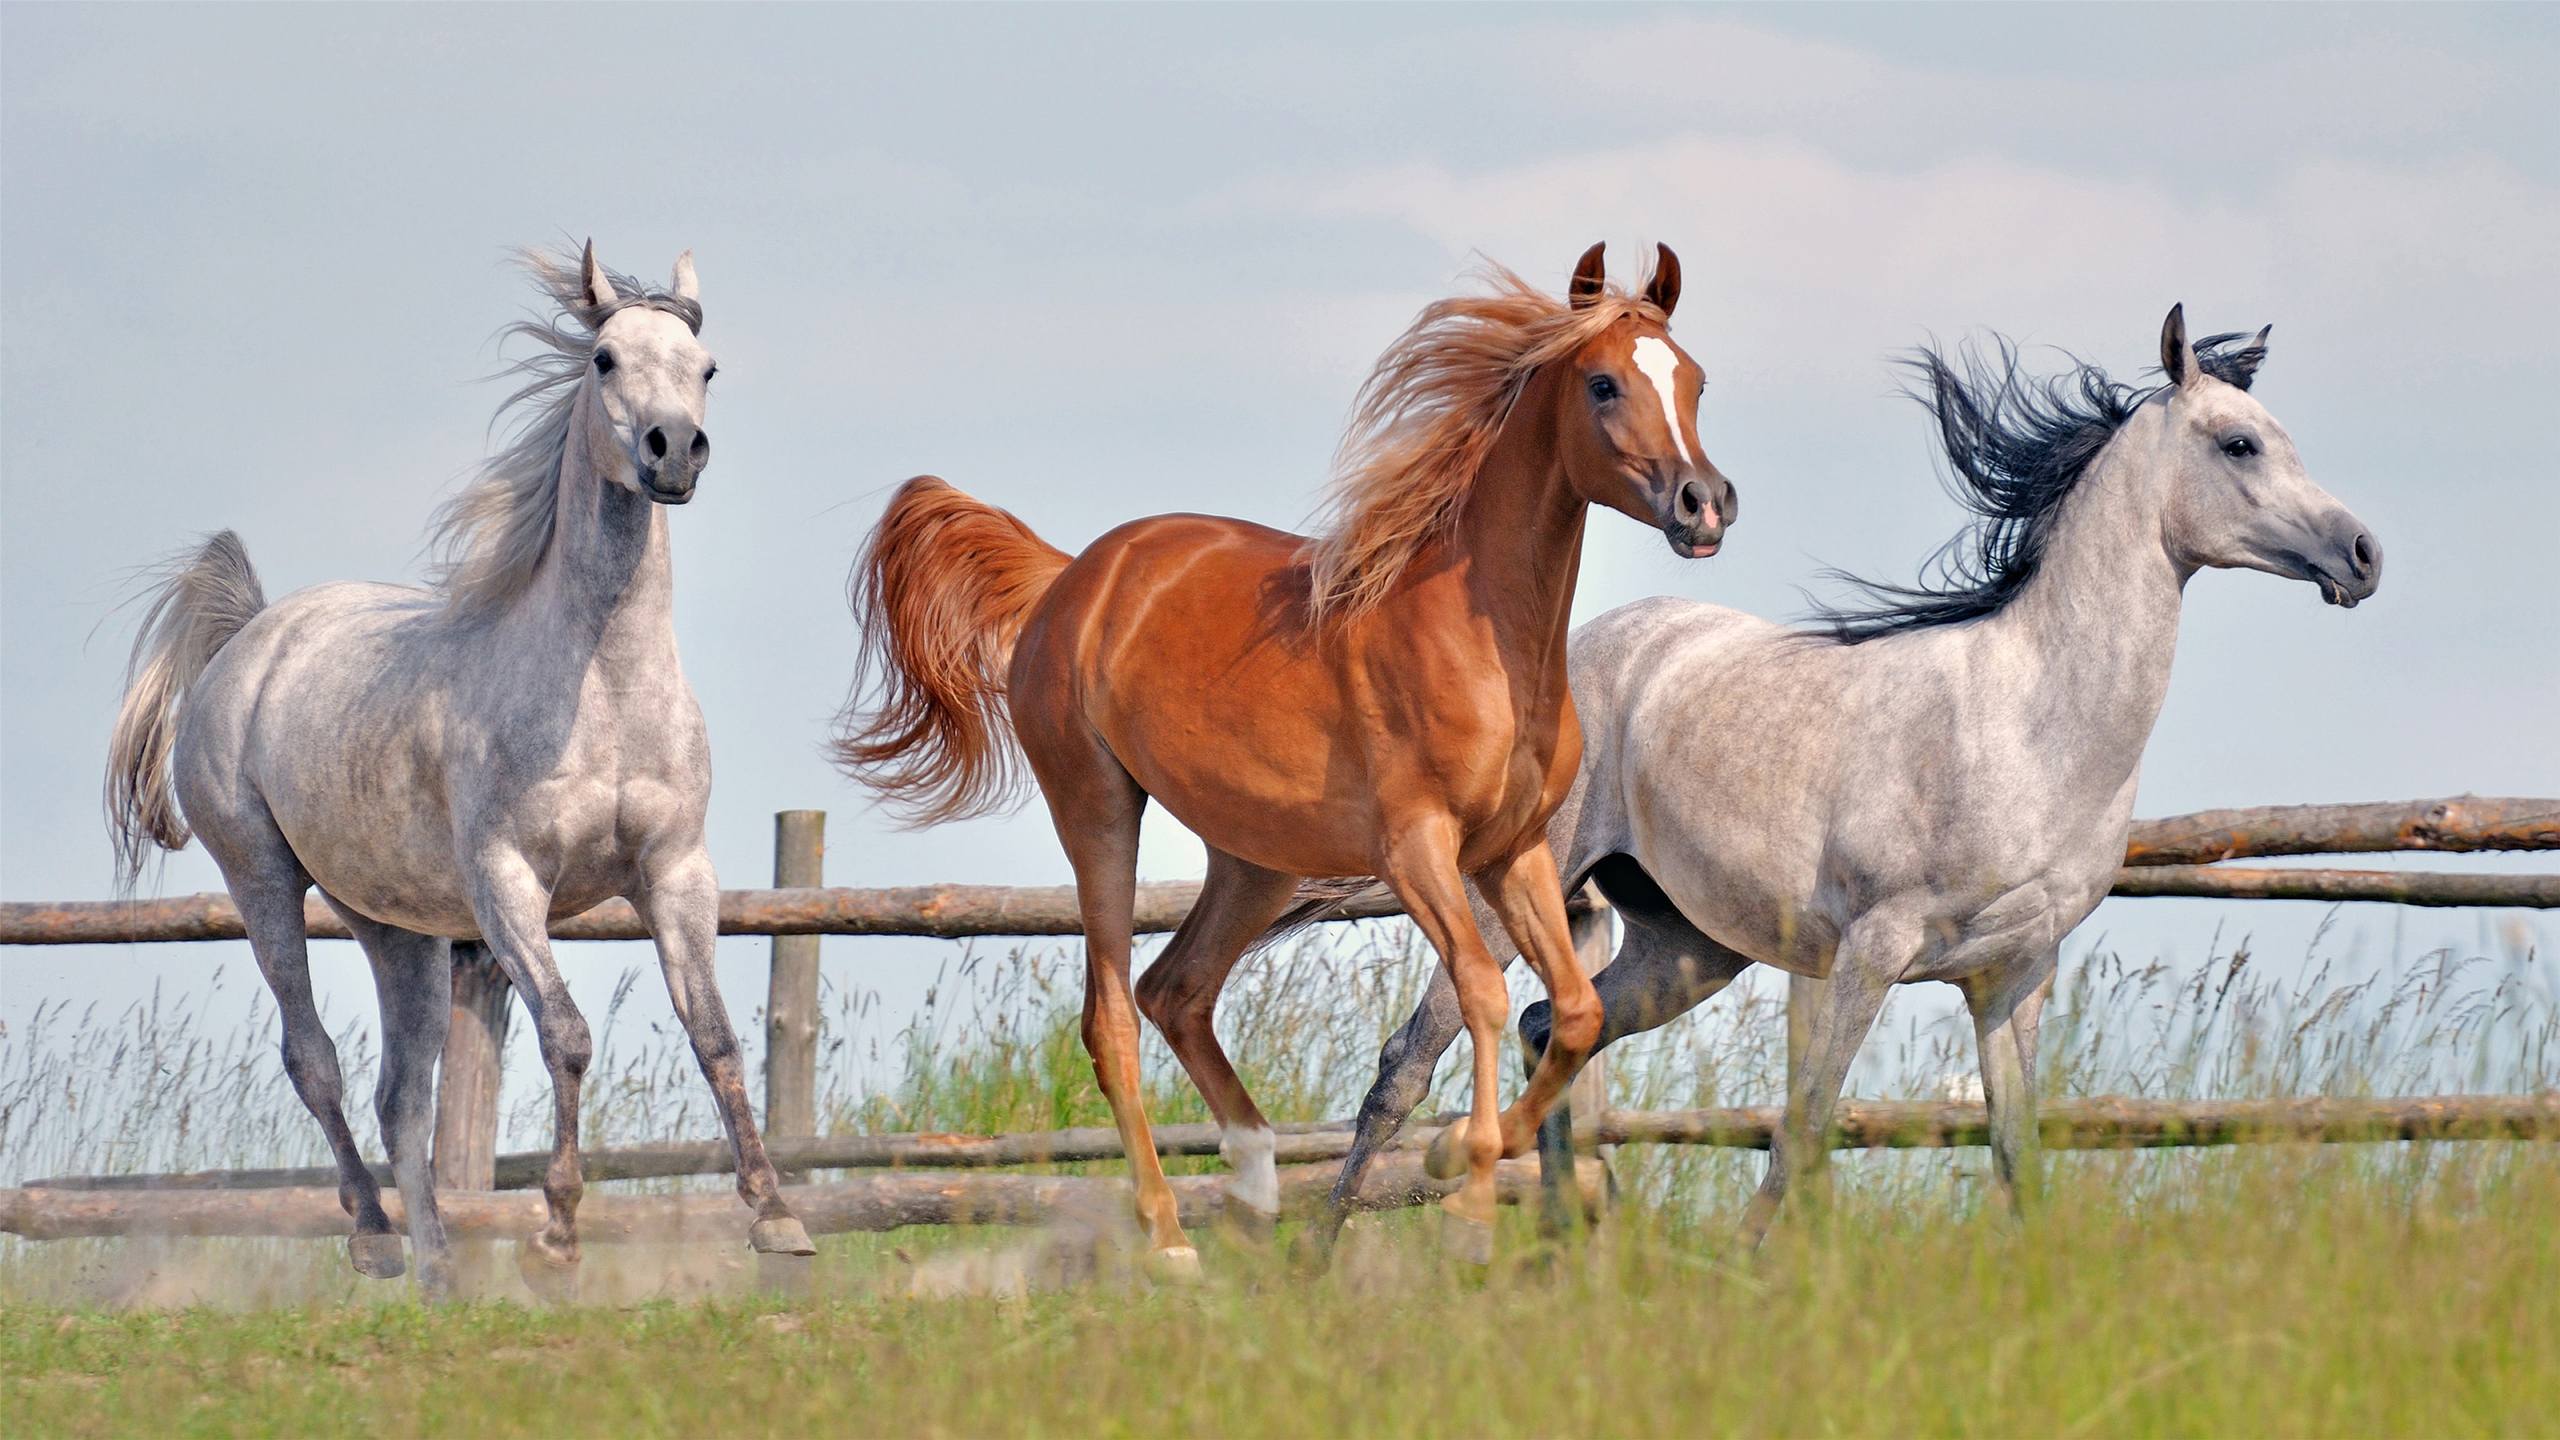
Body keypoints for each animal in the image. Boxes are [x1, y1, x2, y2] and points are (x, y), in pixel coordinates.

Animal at [104, 240, 808, 1296]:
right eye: (603, 357)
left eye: (707, 366)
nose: (672, 451)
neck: (599, 685)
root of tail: (251, 640)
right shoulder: (505, 883)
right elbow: (567, 1035)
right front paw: (556, 1235)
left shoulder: (676, 871)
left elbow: (716, 1035)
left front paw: (777, 1219)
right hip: (263, 879)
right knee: (313, 1057)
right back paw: (375, 1237)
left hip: (395, 927)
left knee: (403, 1092)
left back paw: (441, 1271)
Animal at [829, 243, 1730, 1265]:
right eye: (1603, 383)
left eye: (1695, 379)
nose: (1705, 505)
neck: (1478, 637)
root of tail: (1070, 579)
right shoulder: (1418, 848)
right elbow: (1481, 994)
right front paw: (1463, 1198)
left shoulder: (1515, 849)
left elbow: (1576, 1011)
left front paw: (1455, 1157)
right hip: (1097, 809)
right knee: (1112, 1018)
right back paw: (1170, 1239)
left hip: (1255, 858)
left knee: (1175, 989)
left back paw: (1258, 1189)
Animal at [1310, 304, 2385, 1245]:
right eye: (2239, 445)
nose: (2363, 554)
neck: (2028, 725)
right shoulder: (1871, 951)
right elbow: (1804, 1132)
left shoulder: (2013, 976)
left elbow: (2015, 1156)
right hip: (1511, 896)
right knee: (1407, 1065)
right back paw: (1318, 1261)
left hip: (1687, 949)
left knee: (1553, 1025)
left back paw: (1567, 1254)